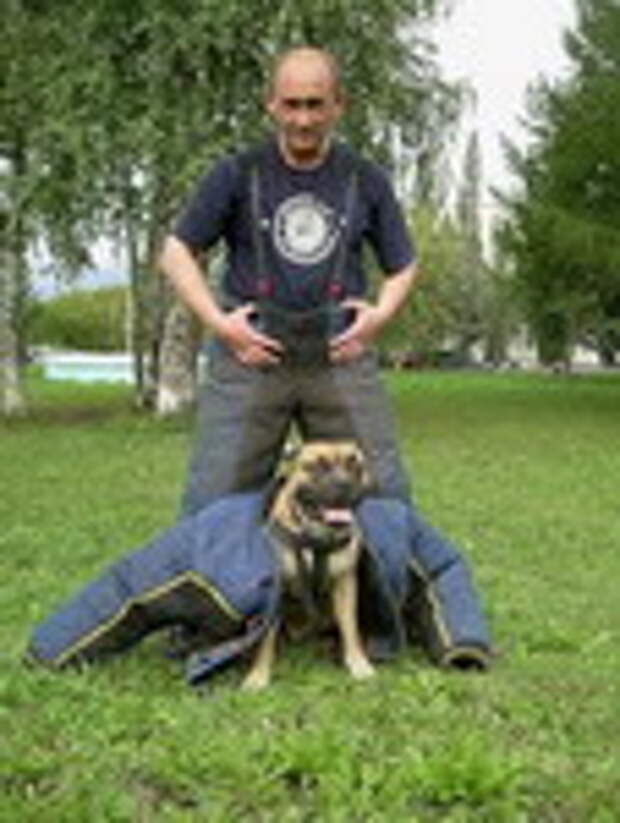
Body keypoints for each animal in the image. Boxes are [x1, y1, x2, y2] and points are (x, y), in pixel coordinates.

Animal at [242, 440, 376, 690]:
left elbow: (350, 628)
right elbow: (266, 638)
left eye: (355, 465)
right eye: (317, 466)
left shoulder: (345, 583)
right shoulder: (277, 591)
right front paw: (258, 675)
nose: (343, 483)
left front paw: (358, 663)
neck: (315, 538)